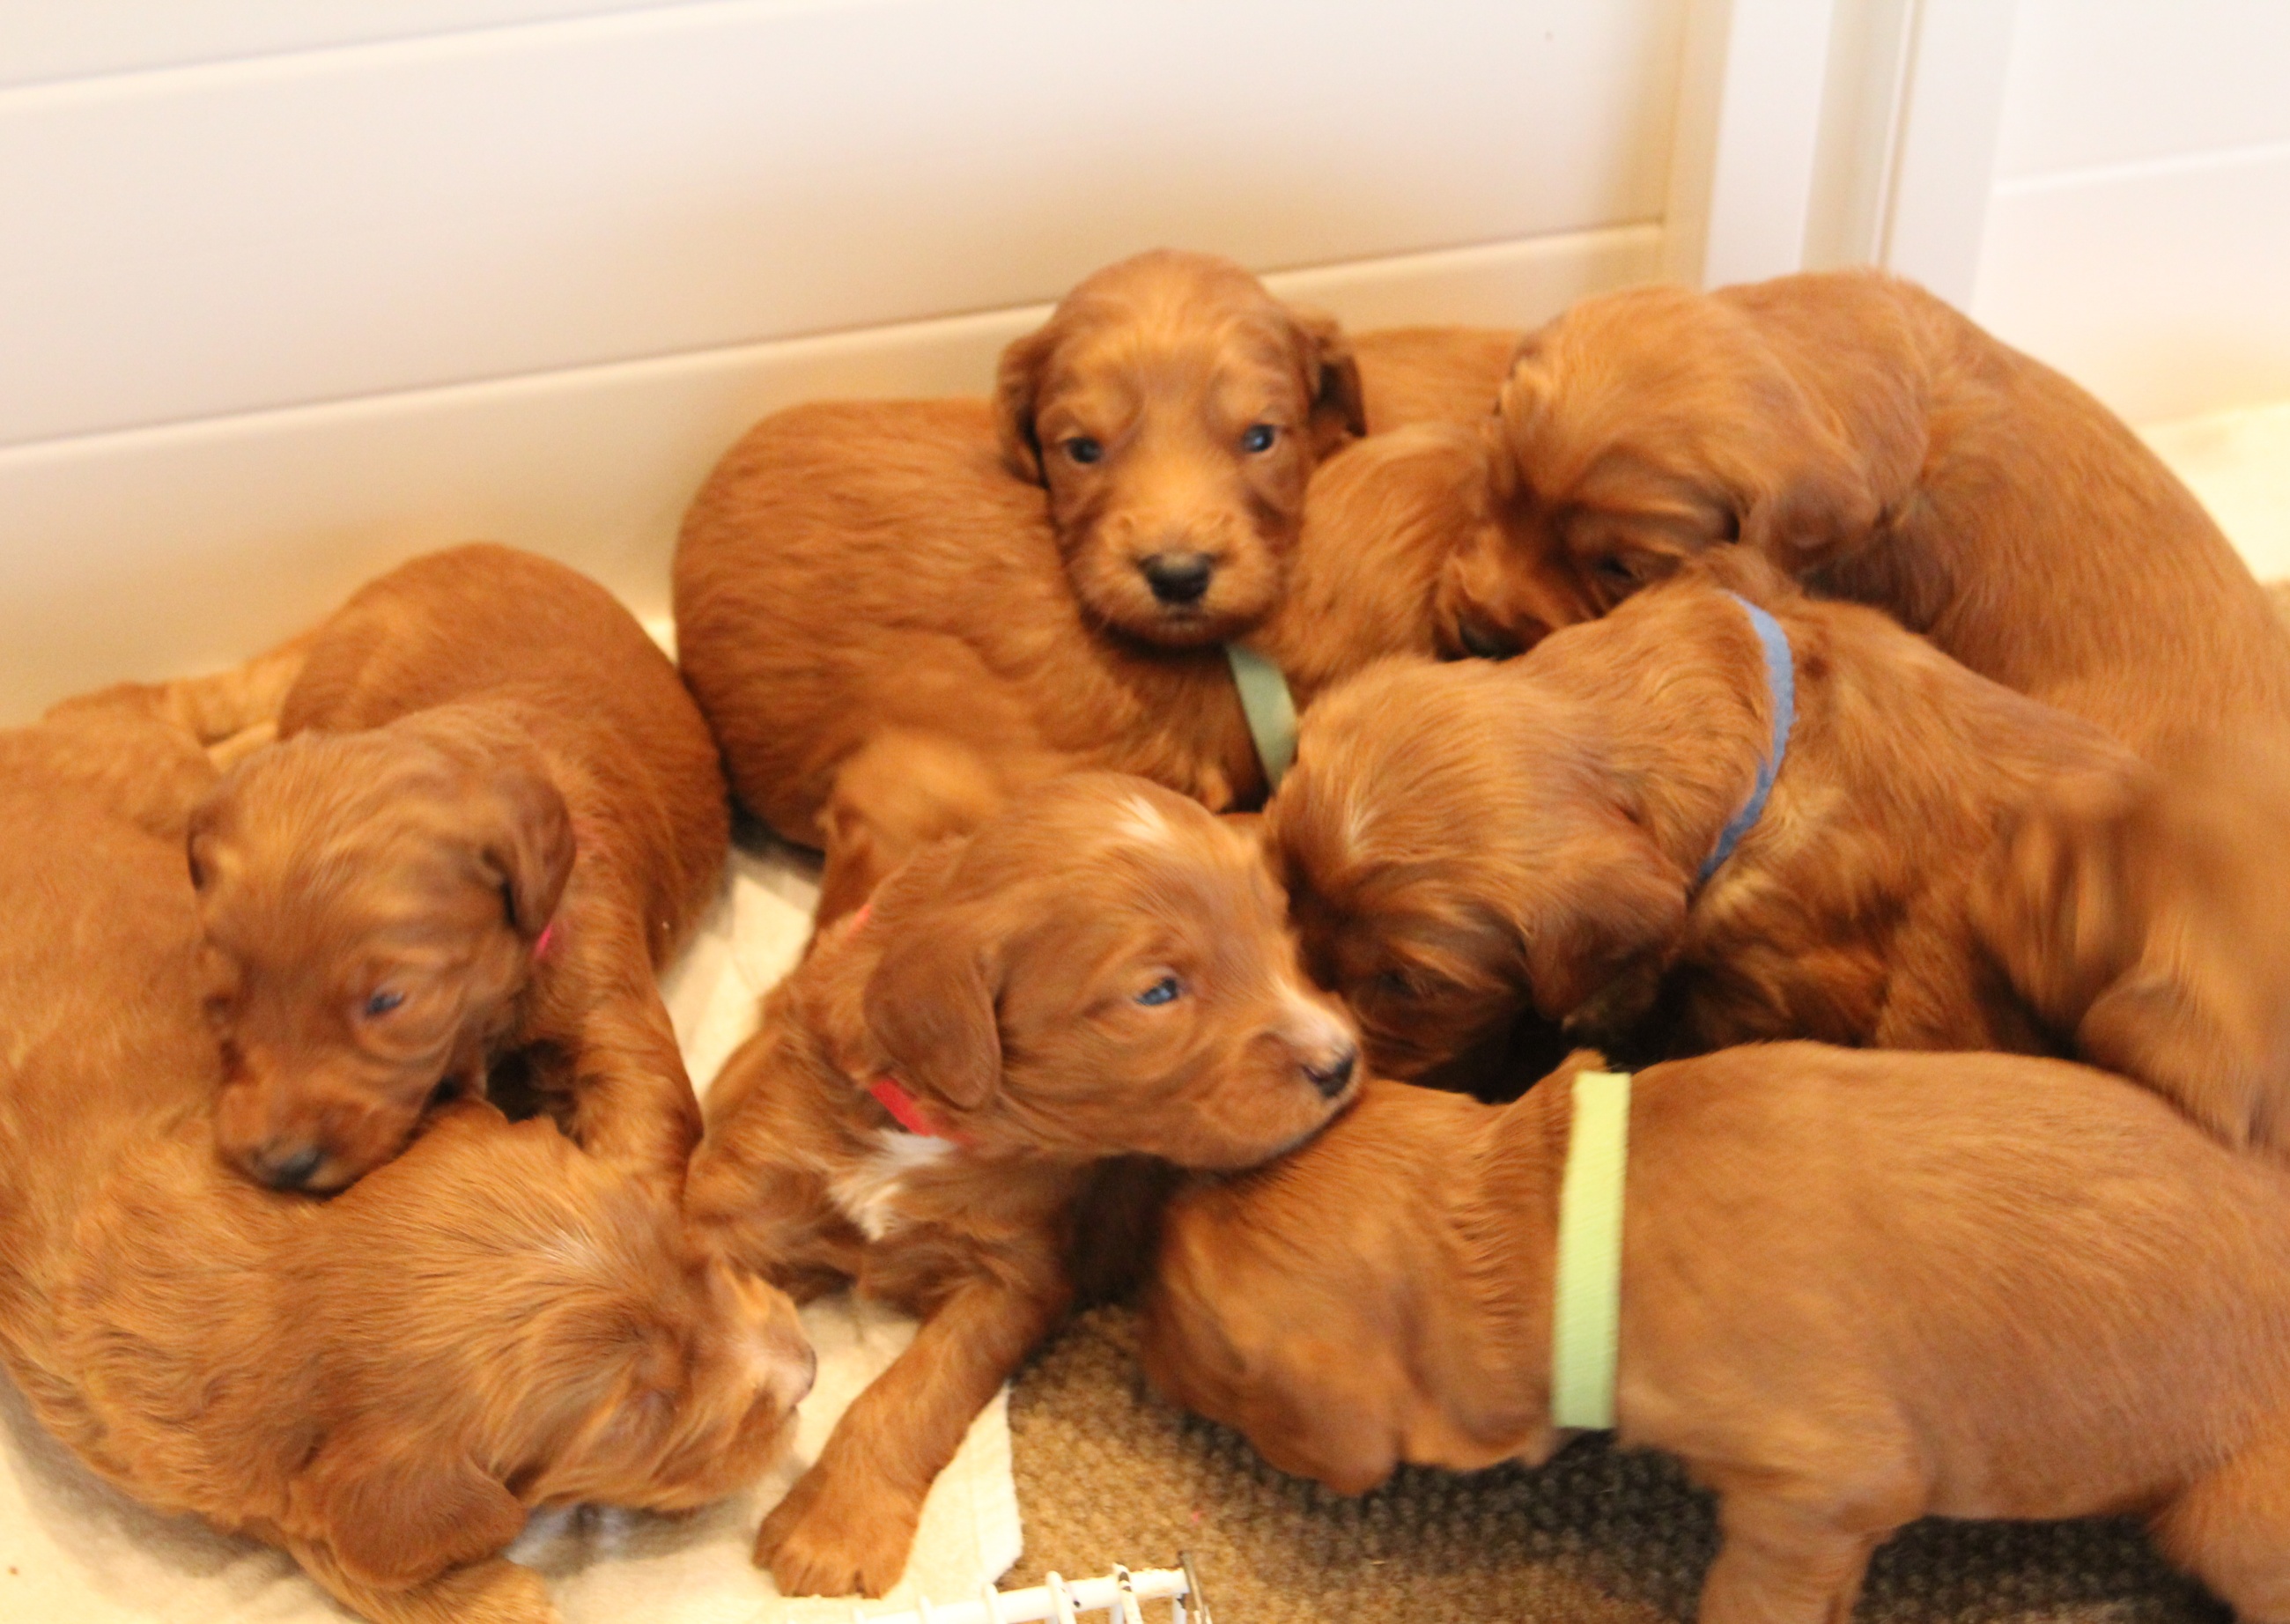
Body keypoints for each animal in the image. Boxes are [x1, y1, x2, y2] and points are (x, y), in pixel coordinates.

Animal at [0, 708, 812, 1624]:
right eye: (645, 1411)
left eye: (689, 1255)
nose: (808, 1371)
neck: (265, 1275)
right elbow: (343, 1550)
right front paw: (497, 1592)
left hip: (163, 779)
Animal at [683, 773, 1361, 1597]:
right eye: (1159, 992)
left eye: (1278, 934)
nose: (1340, 1062)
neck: (925, 1130)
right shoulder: (745, 1196)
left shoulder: (1014, 1279)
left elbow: (911, 1393)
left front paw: (832, 1529)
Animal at [1141, 1047, 2290, 1624]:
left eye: (1193, 1318)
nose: (1130, 1336)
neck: (1560, 1210)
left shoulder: (1822, 1484)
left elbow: (1754, 1590)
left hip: (2229, 1513)